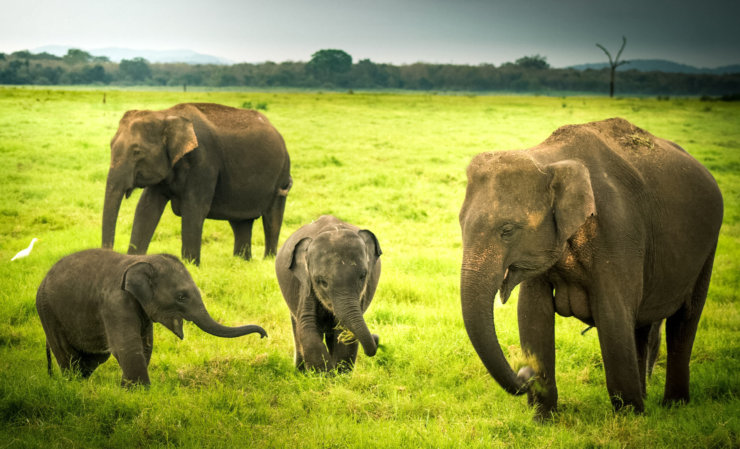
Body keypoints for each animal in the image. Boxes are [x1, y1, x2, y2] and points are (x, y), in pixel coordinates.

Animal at [36, 248, 268, 384]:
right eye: (181, 297)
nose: (264, 336)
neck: (142, 259)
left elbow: (145, 345)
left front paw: (128, 390)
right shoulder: (115, 303)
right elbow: (127, 346)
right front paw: (138, 392)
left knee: (94, 357)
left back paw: (82, 383)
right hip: (47, 311)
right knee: (68, 355)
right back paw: (73, 384)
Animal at [102, 103, 292, 264]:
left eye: (137, 151)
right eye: (110, 146)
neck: (165, 115)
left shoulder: (204, 162)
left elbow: (194, 209)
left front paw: (191, 265)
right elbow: (146, 208)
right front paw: (134, 260)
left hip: (282, 172)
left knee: (272, 217)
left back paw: (269, 260)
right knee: (241, 222)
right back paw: (242, 261)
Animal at [276, 214, 382, 372]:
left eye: (363, 276)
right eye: (321, 281)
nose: (376, 337)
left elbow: (344, 332)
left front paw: (339, 375)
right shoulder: (305, 283)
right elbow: (307, 325)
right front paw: (325, 375)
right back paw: (300, 372)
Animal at [460, 116, 724, 416]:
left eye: (507, 230)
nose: (525, 372)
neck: (550, 160)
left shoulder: (619, 232)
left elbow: (612, 315)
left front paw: (629, 418)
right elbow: (532, 314)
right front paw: (543, 418)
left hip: (707, 249)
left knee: (684, 319)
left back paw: (672, 406)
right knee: (642, 324)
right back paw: (648, 399)